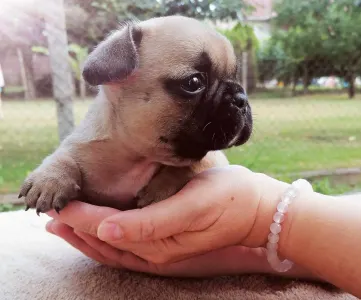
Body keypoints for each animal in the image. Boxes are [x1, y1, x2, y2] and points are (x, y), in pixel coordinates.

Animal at [19, 15, 250, 213]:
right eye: (193, 83)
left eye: (234, 76)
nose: (241, 98)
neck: (135, 156)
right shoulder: (78, 145)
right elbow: (61, 157)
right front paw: (48, 181)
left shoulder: (213, 158)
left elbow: (194, 165)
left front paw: (160, 188)